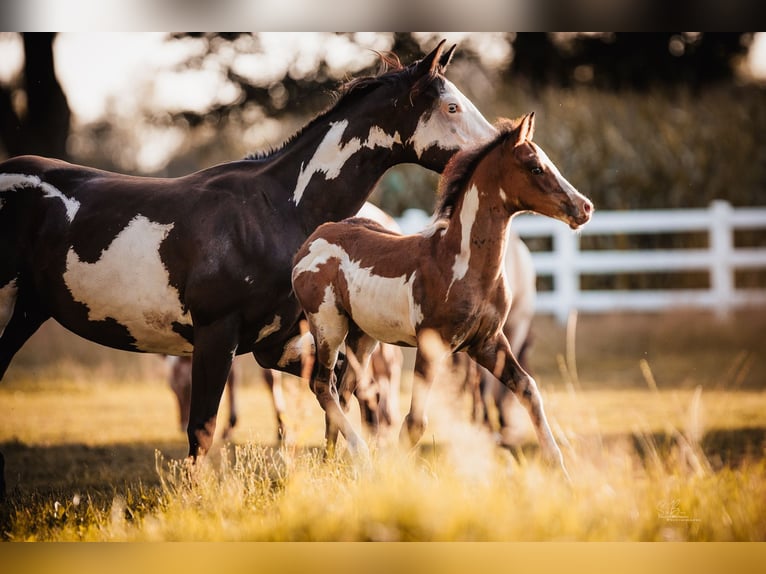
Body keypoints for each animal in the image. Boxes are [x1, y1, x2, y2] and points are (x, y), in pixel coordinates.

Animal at [0, 40, 497, 465]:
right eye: (451, 106)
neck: (273, 208)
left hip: (28, 309)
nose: (499, 150)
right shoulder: (217, 336)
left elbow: (340, 389)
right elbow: (202, 430)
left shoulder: (271, 343)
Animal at [292, 113, 593, 476]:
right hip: (329, 327)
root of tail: (310, 243)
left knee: (344, 390)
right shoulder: (431, 344)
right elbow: (415, 422)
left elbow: (528, 389)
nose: (584, 207)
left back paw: (331, 464)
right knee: (323, 386)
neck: (462, 264)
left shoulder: (487, 342)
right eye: (535, 167)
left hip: (363, 337)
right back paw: (359, 456)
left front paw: (561, 471)